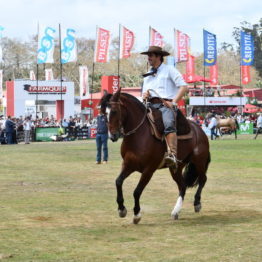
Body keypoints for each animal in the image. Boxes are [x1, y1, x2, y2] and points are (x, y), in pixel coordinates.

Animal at [100, 89, 211, 224]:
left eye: (115, 111)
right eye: (104, 113)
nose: (113, 136)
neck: (139, 134)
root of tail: (200, 131)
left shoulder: (149, 170)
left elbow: (137, 191)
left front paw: (137, 214)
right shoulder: (128, 165)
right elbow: (118, 182)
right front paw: (121, 209)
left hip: (199, 162)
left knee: (203, 179)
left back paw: (197, 203)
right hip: (176, 168)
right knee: (183, 186)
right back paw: (176, 211)